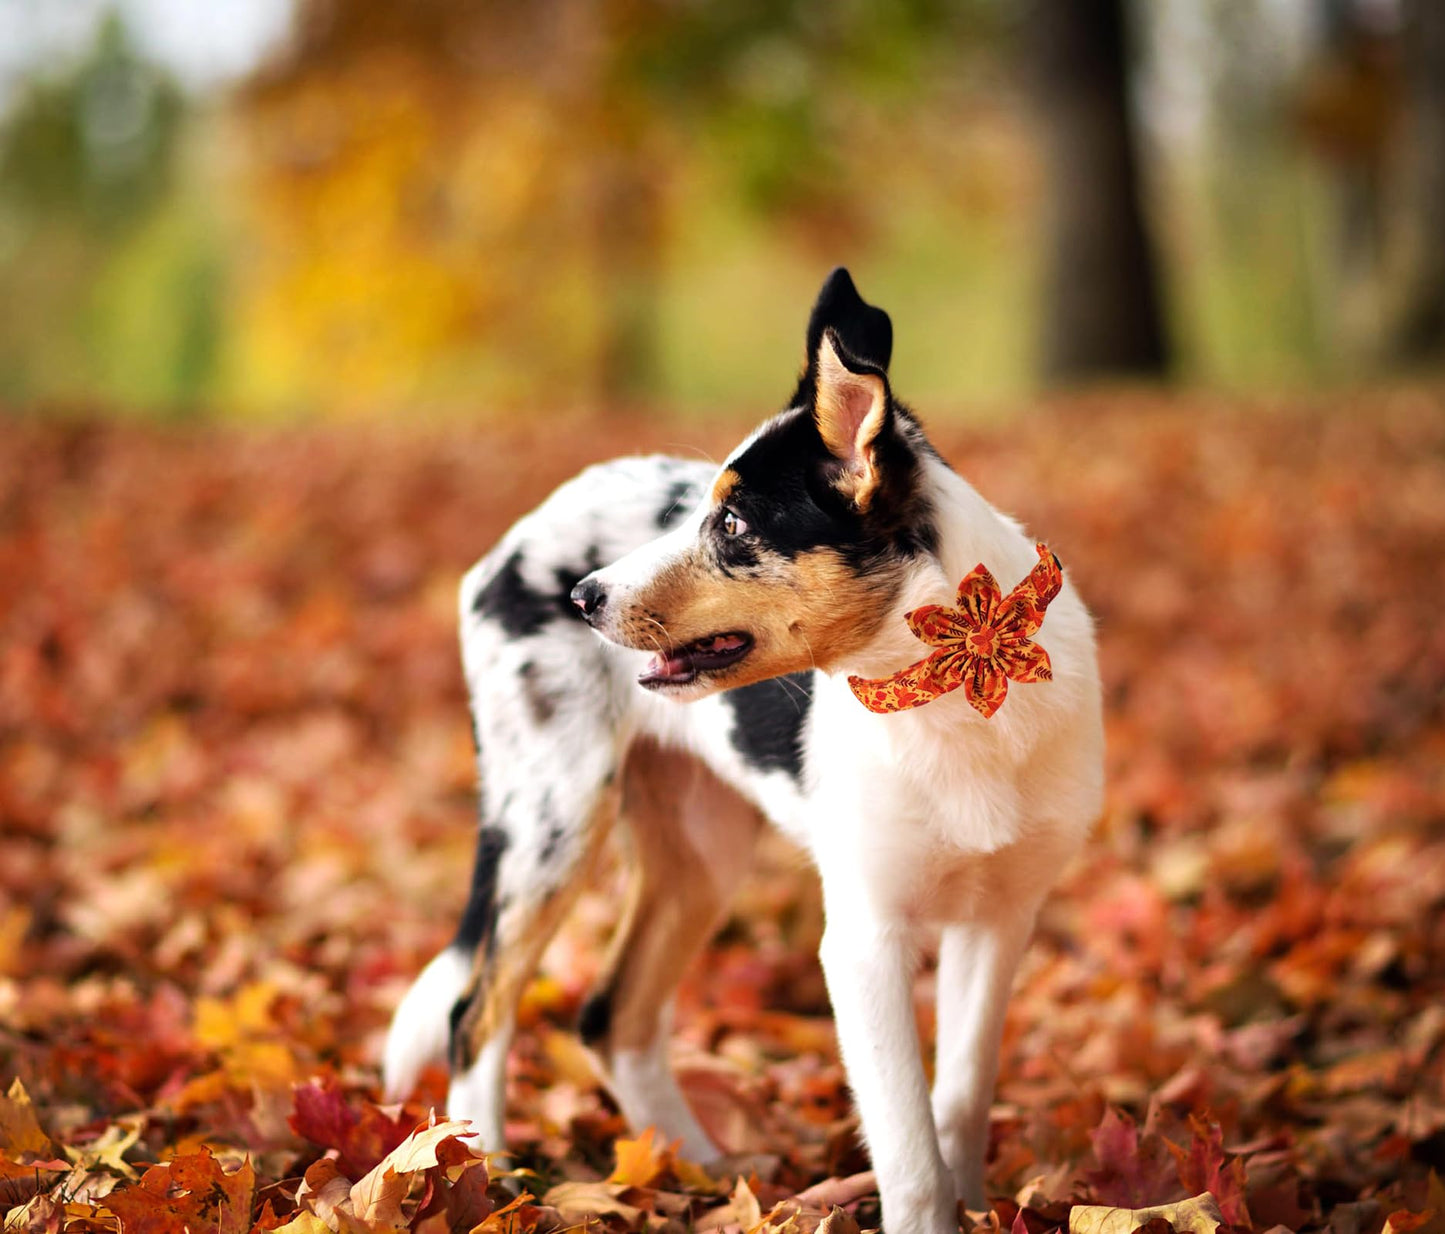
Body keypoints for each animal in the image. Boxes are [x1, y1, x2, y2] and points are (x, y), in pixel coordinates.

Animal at [378, 273, 1098, 1234]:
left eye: (729, 523)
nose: (582, 597)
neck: (952, 697)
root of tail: (517, 537)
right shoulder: (862, 937)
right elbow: (908, 1150)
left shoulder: (998, 920)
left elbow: (957, 1106)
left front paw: (975, 1207)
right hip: (551, 821)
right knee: (476, 1011)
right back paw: (488, 1179)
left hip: (699, 851)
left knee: (612, 1017)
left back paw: (702, 1173)